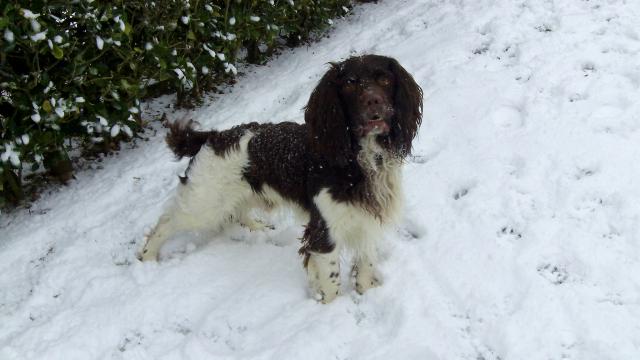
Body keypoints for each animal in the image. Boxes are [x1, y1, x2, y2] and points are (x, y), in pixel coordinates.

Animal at [138, 54, 422, 304]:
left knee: (236, 212)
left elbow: (365, 264)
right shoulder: (324, 230)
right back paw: (147, 257)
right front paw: (331, 308)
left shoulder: (368, 219)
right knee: (166, 223)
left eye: (384, 79)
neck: (358, 158)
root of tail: (211, 136)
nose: (374, 102)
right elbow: (331, 280)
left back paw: (259, 227)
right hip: (203, 203)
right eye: (350, 83)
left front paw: (365, 292)